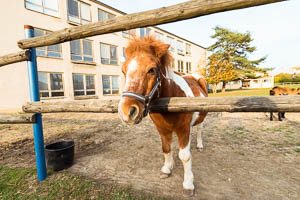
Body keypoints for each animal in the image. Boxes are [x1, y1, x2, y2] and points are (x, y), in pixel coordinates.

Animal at [118, 36, 207, 196]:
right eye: (123, 71)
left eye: (152, 70)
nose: (127, 112)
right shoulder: (162, 129)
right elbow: (166, 148)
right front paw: (167, 168)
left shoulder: (183, 130)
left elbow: (185, 156)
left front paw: (188, 184)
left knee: (200, 129)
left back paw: (200, 144)